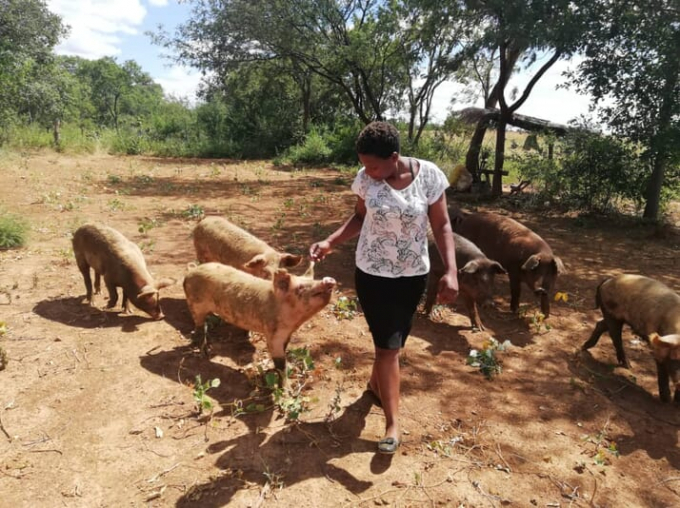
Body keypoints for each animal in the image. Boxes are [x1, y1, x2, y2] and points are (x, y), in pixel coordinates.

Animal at [185, 262, 336, 370]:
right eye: (300, 288)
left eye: (314, 279)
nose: (328, 280)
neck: (294, 322)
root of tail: (191, 270)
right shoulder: (272, 334)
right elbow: (279, 362)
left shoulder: (287, 333)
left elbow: (285, 349)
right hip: (195, 304)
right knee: (199, 326)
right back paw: (203, 352)